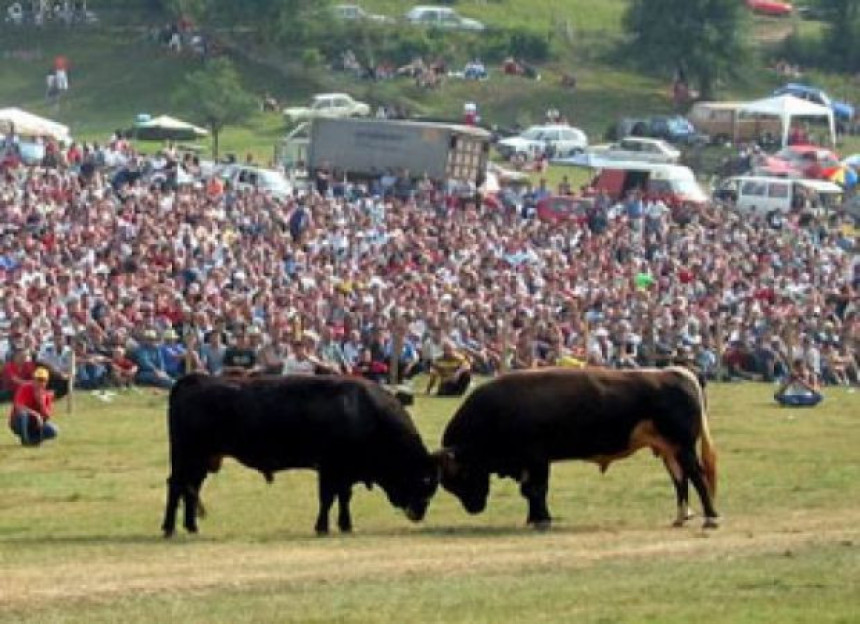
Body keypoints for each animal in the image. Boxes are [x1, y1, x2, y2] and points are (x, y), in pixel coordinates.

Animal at [163, 372, 436, 540]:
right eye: (423, 479)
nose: (419, 513)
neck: (364, 411)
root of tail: (194, 379)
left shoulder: (345, 472)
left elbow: (343, 498)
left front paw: (345, 525)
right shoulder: (330, 469)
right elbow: (327, 498)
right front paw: (322, 527)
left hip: (200, 460)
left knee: (190, 487)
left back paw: (191, 527)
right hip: (188, 456)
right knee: (177, 486)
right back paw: (169, 529)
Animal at [436, 368, 720, 528]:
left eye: (460, 474)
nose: (474, 507)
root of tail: (677, 373)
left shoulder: (537, 459)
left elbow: (535, 490)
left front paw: (542, 520)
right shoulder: (531, 463)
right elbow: (530, 492)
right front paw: (534, 518)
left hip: (683, 447)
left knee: (697, 476)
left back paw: (711, 518)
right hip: (669, 451)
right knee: (680, 480)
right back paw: (681, 518)